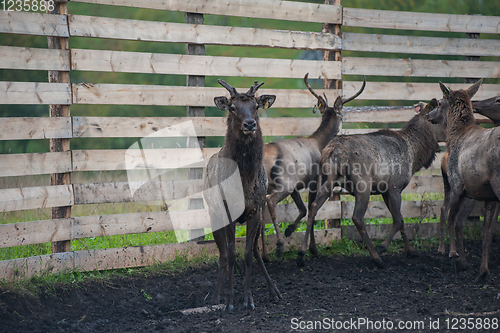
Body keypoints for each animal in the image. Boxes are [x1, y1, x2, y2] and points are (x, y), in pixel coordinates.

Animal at [203, 79, 282, 310]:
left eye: (256, 106)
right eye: (232, 107)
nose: (249, 124)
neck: (244, 184)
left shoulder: (255, 210)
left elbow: (247, 253)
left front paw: (248, 298)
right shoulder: (227, 212)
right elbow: (230, 254)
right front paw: (229, 300)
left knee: (255, 250)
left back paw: (274, 291)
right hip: (214, 215)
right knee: (222, 255)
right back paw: (215, 297)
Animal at [260, 72, 366, 260]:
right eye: (342, 116)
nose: (342, 125)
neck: (319, 143)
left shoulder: (298, 185)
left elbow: (303, 209)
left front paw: (290, 230)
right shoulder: (314, 181)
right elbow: (311, 210)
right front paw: (313, 248)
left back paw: (263, 255)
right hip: (284, 182)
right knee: (270, 201)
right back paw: (279, 245)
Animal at [296, 100, 442, 266]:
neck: (415, 154)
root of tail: (331, 151)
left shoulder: (385, 190)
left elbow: (401, 219)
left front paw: (410, 251)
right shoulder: (395, 187)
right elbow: (398, 220)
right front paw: (382, 247)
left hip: (326, 181)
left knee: (313, 206)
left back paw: (303, 253)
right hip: (362, 185)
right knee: (357, 217)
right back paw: (376, 257)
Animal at [436, 79, 498, 278]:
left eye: (439, 103)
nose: (429, 116)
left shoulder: (458, 186)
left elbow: (453, 221)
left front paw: (457, 257)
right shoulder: (489, 196)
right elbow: (486, 231)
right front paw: (483, 270)